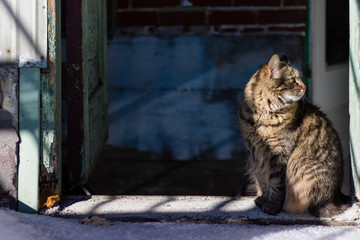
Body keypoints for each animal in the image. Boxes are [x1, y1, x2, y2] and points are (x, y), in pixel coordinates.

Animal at [238, 53, 348, 217]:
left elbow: (276, 186)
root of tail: (335, 197)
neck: (262, 115)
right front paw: (263, 200)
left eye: (301, 78)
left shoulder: (278, 154)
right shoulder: (256, 155)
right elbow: (264, 182)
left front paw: (272, 207)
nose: (304, 87)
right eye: (291, 80)